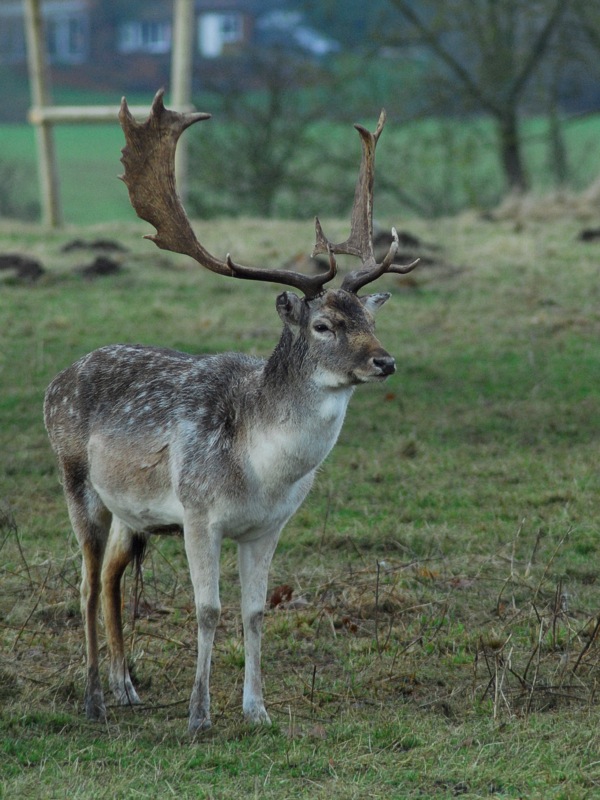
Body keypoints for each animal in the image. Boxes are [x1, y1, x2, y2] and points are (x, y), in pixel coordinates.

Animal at [43, 89, 418, 732]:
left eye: (370, 317)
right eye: (323, 325)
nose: (384, 361)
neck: (261, 471)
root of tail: (54, 384)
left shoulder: (269, 526)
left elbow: (255, 613)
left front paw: (257, 710)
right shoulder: (199, 513)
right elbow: (208, 610)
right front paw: (200, 716)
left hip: (130, 511)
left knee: (113, 576)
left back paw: (126, 687)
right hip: (76, 481)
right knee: (87, 583)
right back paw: (94, 699)